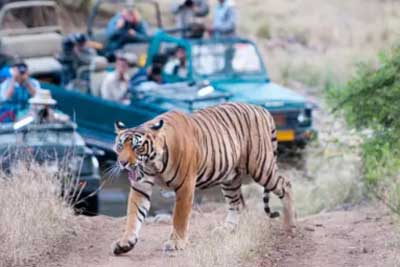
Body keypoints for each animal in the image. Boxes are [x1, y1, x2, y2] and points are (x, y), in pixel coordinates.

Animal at [111, 102, 296, 255]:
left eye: (137, 147)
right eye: (120, 146)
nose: (123, 163)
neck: (153, 165)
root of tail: (262, 109)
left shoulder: (185, 186)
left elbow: (179, 217)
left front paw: (176, 243)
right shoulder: (140, 186)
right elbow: (133, 215)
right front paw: (125, 243)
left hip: (261, 167)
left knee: (286, 185)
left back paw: (290, 224)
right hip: (230, 178)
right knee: (236, 203)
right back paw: (226, 229)